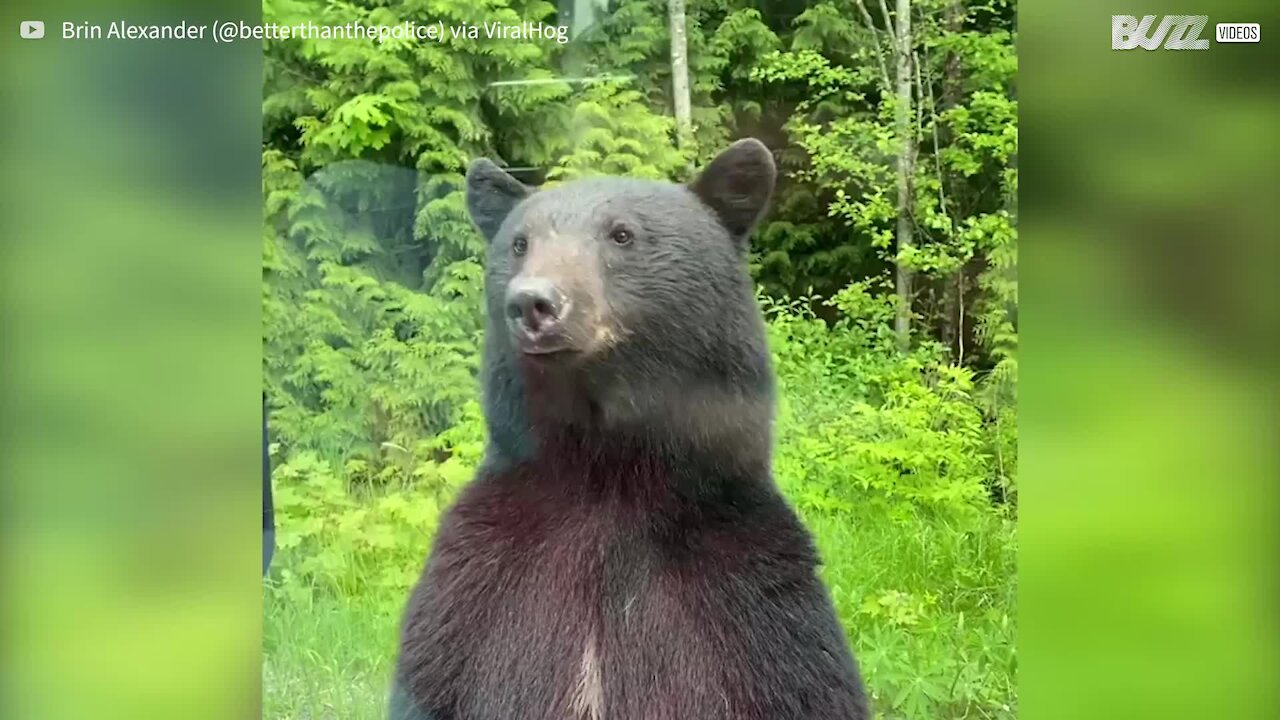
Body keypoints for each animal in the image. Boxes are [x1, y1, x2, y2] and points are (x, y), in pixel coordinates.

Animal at [389, 140, 870, 717]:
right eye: (520, 243)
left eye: (622, 234)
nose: (533, 302)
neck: (609, 476)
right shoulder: (471, 600)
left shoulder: (754, 609)